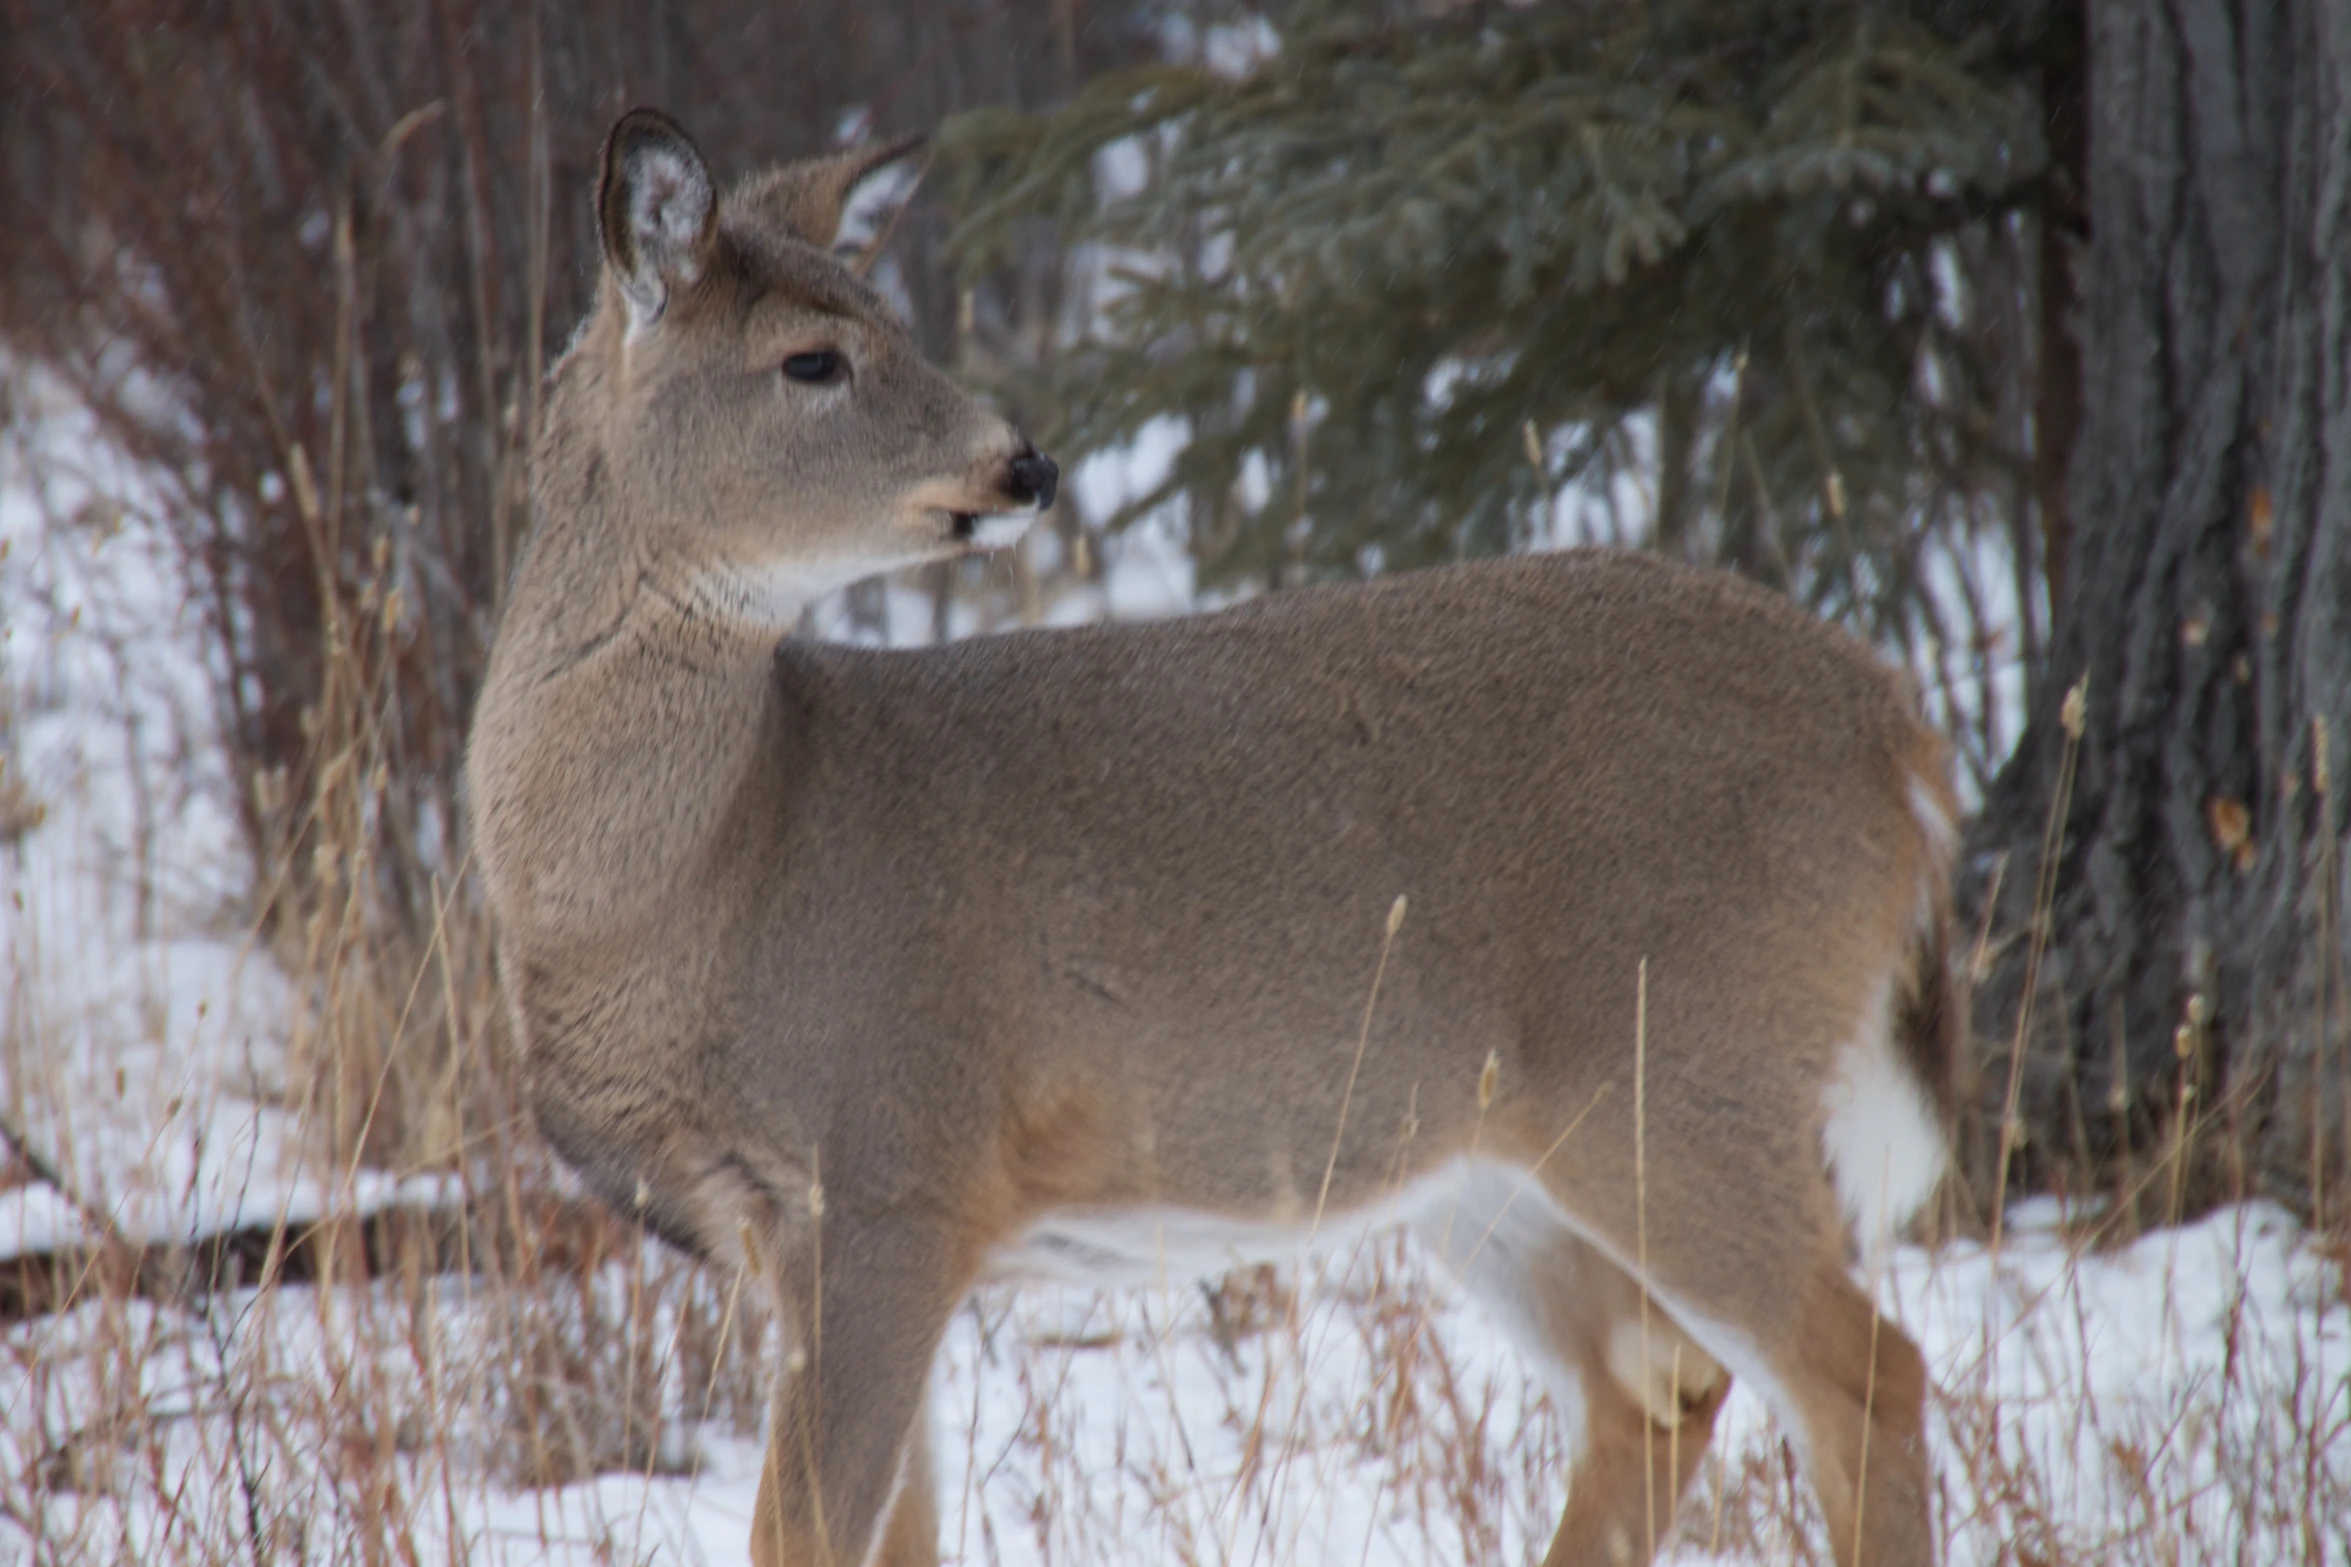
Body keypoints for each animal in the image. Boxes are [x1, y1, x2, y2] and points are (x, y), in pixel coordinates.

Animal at [463, 110, 1965, 1567]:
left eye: (892, 322)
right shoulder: (819, 1239)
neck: (706, 878)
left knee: (1864, 1373)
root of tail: (1898, 728)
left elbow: (803, 1535)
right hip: (1494, 1168)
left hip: (1687, 1071)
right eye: (811, 358)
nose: (1024, 463)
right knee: (1655, 1388)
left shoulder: (887, 1170)